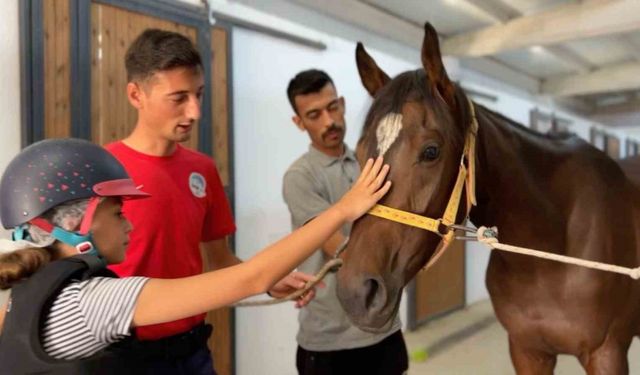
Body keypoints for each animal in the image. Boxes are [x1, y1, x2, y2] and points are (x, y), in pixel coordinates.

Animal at [336, 23, 640, 375]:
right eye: (359, 153)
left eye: (431, 151)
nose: (356, 293)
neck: (551, 251)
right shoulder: (527, 351)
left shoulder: (608, 353)